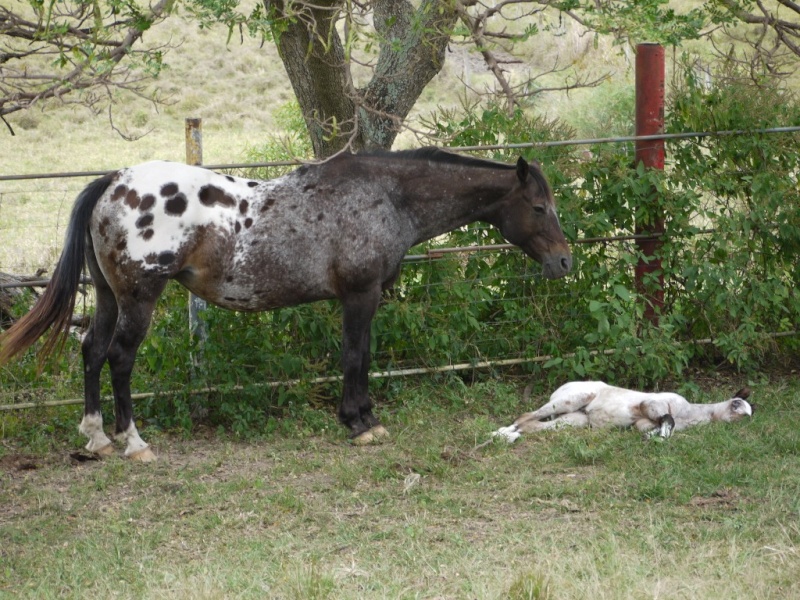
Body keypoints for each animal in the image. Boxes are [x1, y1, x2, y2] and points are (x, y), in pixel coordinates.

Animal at [1, 149, 576, 460]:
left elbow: (362, 357)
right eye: (538, 206)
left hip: (107, 296)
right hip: (140, 298)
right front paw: (359, 423)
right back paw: (134, 442)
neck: (388, 195)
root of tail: (115, 181)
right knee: (119, 358)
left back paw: (96, 437)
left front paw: (364, 416)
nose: (565, 262)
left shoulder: (364, 298)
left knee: (92, 351)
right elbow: (354, 357)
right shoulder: (360, 295)